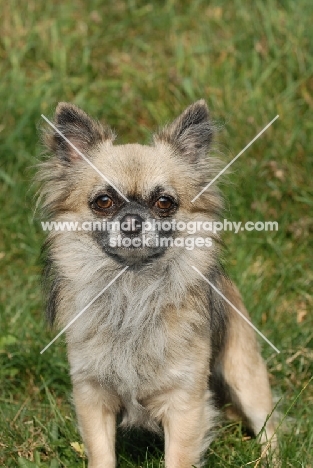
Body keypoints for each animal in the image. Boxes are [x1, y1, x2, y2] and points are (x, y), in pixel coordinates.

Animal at [38, 101, 276, 468]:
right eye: (103, 202)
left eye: (164, 203)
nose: (133, 222)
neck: (133, 289)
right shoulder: (92, 396)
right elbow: (102, 454)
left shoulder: (185, 404)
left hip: (244, 375)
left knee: (268, 423)